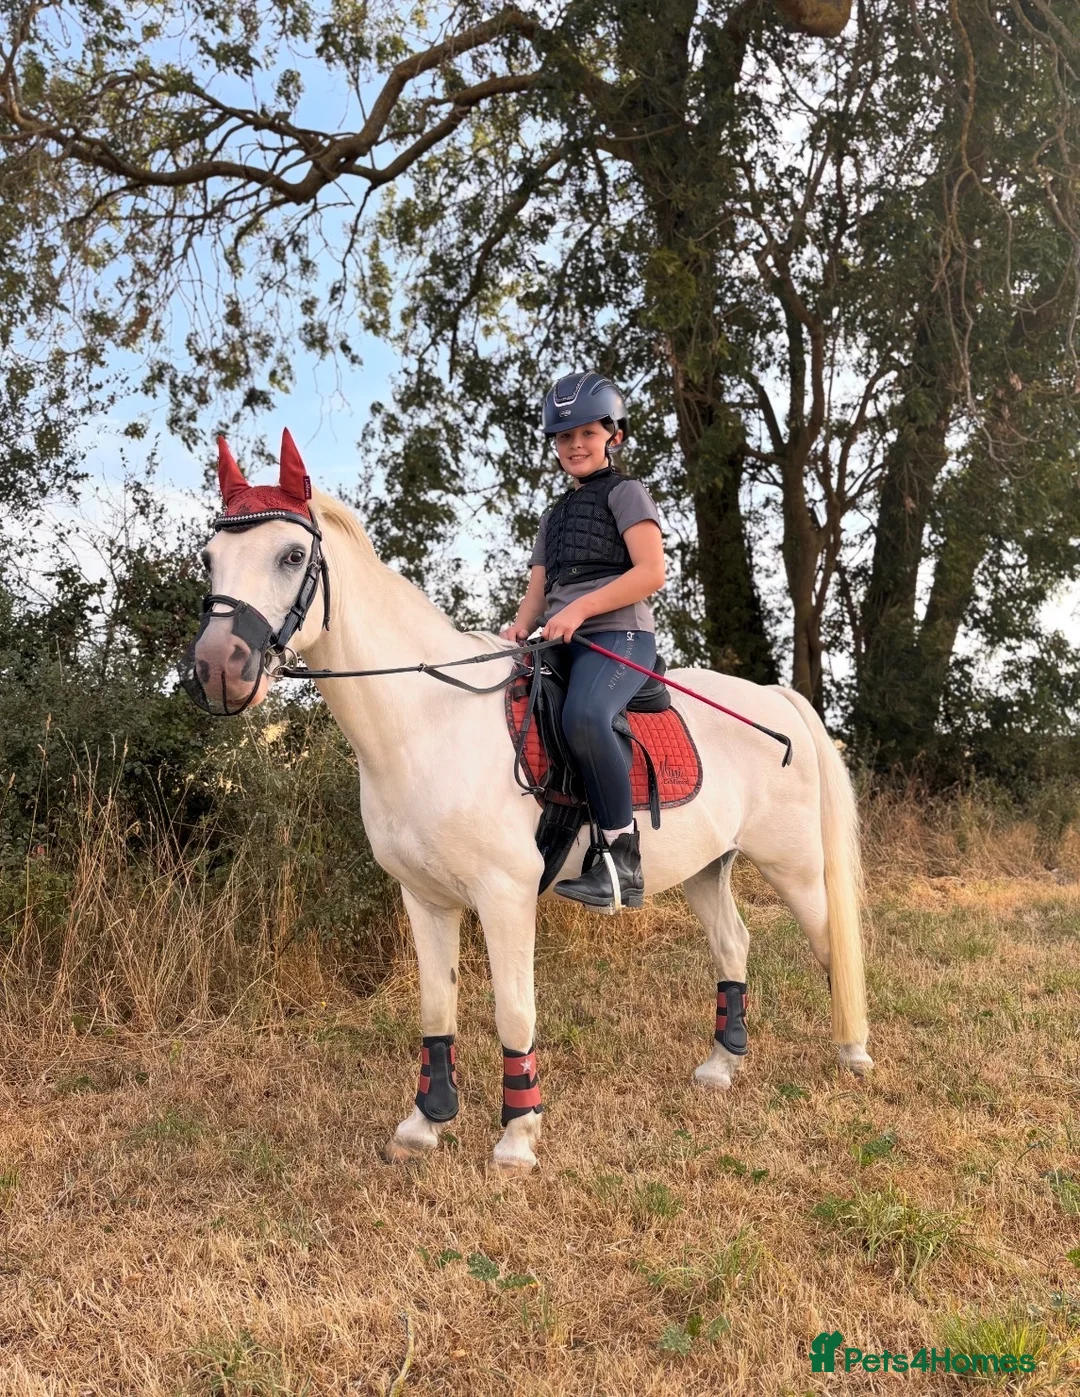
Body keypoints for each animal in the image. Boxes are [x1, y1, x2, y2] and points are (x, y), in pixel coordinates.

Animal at [187, 433, 872, 1174]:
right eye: (210, 557)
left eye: (290, 555)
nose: (218, 669)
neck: (427, 721)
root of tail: (774, 696)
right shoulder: (424, 897)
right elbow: (437, 1007)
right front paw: (424, 1122)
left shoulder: (505, 895)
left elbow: (514, 1011)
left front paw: (517, 1136)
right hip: (705, 867)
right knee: (732, 943)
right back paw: (722, 1063)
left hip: (793, 865)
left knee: (831, 942)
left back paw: (852, 1052)